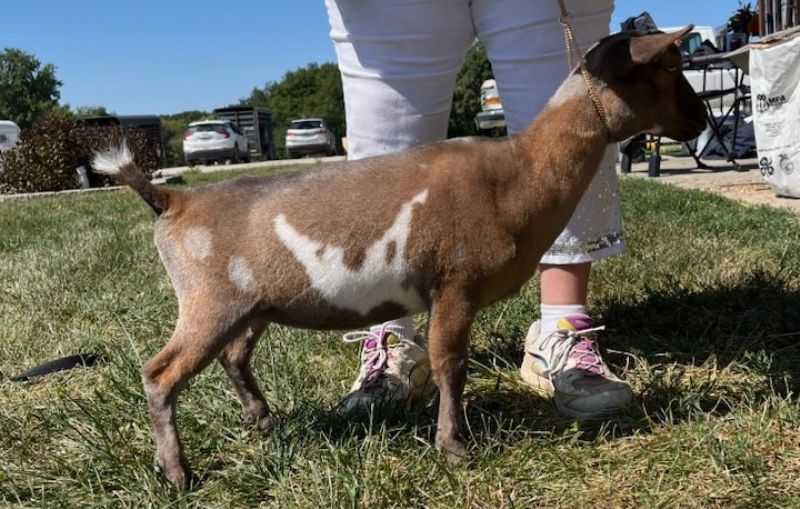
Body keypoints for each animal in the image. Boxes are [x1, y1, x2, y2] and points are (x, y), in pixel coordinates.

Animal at [92, 27, 706, 489]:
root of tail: (173, 199)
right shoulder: (454, 284)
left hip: (250, 306)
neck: (518, 173)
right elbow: (449, 364)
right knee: (160, 374)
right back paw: (177, 474)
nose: (700, 119)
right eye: (672, 66)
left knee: (234, 356)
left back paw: (262, 423)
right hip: (209, 301)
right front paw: (455, 447)